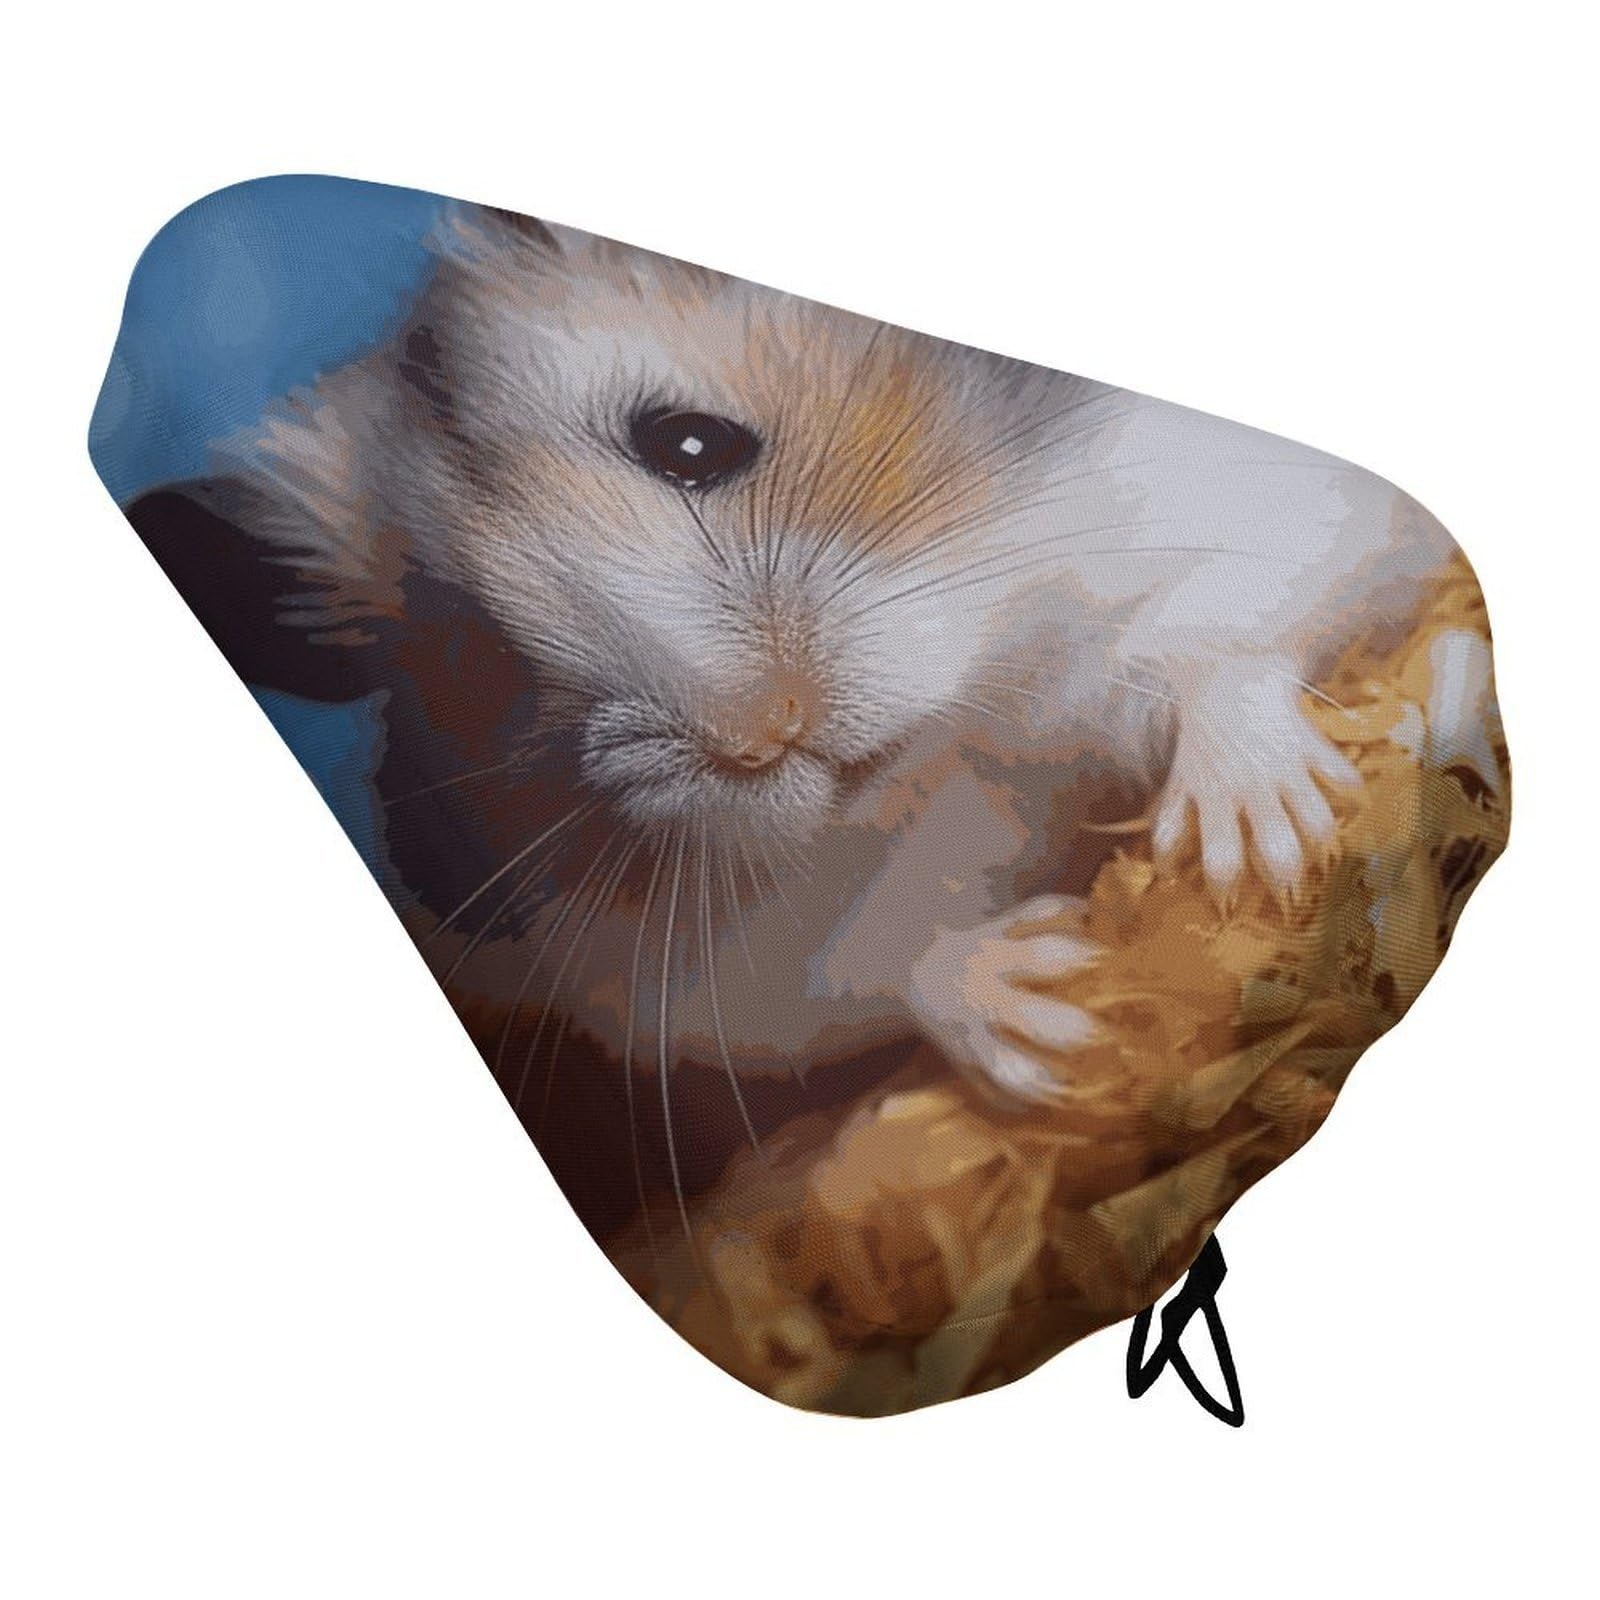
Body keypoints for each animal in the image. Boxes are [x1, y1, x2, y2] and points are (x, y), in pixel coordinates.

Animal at [129, 205, 1455, 1203]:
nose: (769, 739)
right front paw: (1054, 1018)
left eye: (691, 442)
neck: (956, 725)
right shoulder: (661, 970)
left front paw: (1257, 849)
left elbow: (1217, 636)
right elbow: (870, 965)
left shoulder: (1229, 494)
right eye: (494, 662)